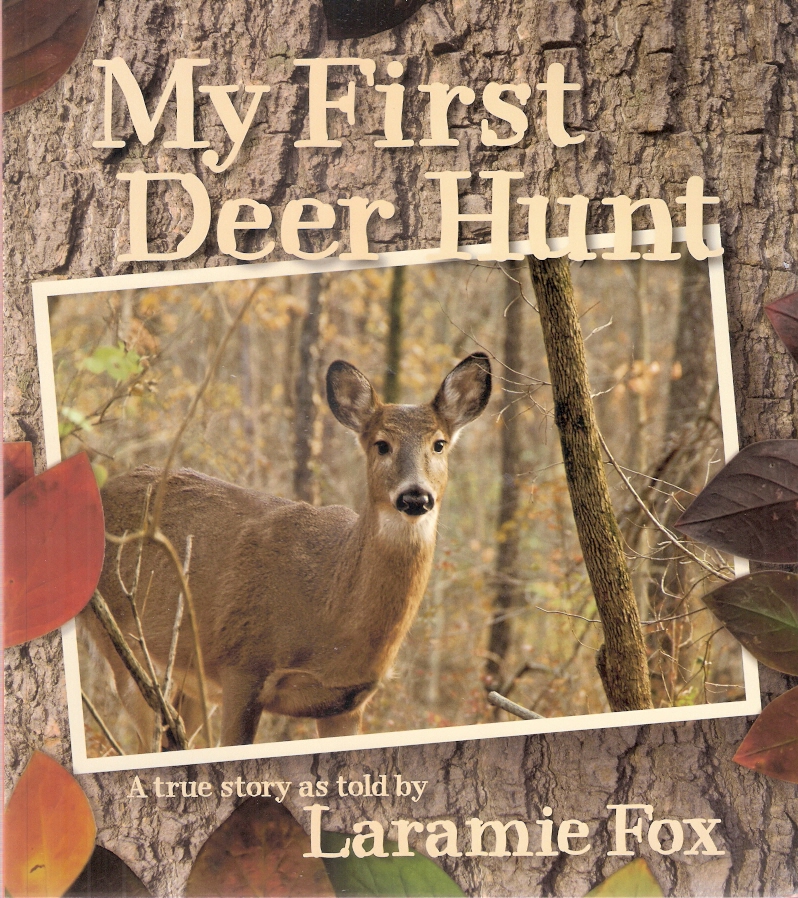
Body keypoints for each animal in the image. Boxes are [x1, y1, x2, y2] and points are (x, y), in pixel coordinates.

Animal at [82, 352, 491, 750]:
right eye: (381, 444)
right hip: (123, 643)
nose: (415, 496)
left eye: (439, 444)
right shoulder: (242, 666)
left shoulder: (345, 701)